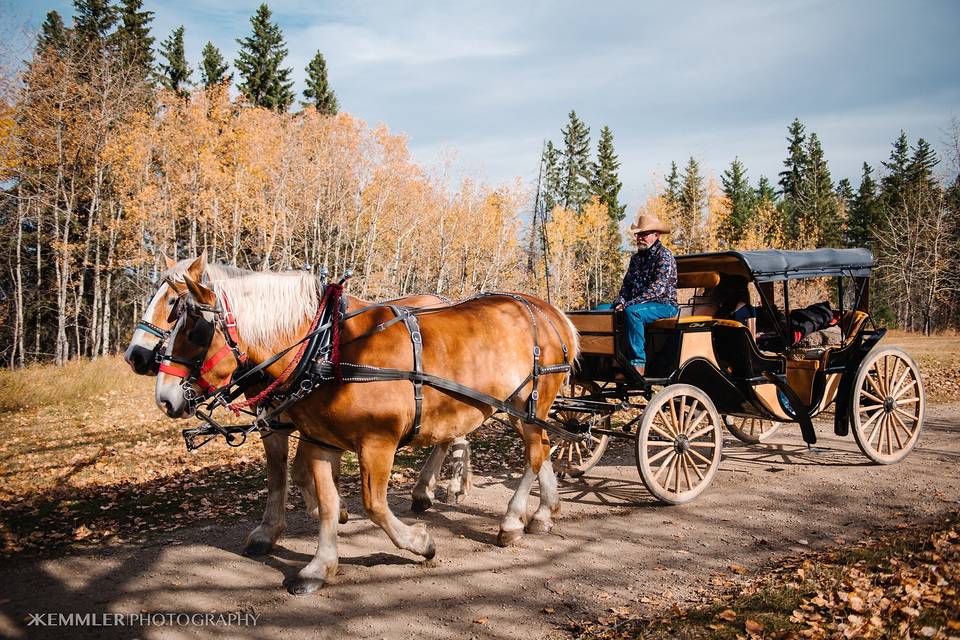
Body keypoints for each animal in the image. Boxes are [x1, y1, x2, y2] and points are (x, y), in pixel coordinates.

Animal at [156, 268, 576, 592]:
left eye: (195, 332)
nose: (165, 398)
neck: (329, 350)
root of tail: (547, 310)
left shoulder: (378, 442)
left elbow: (374, 505)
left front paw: (420, 542)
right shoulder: (320, 440)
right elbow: (326, 504)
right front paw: (319, 566)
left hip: (529, 403)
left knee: (533, 454)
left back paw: (512, 521)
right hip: (518, 410)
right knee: (543, 448)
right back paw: (544, 512)